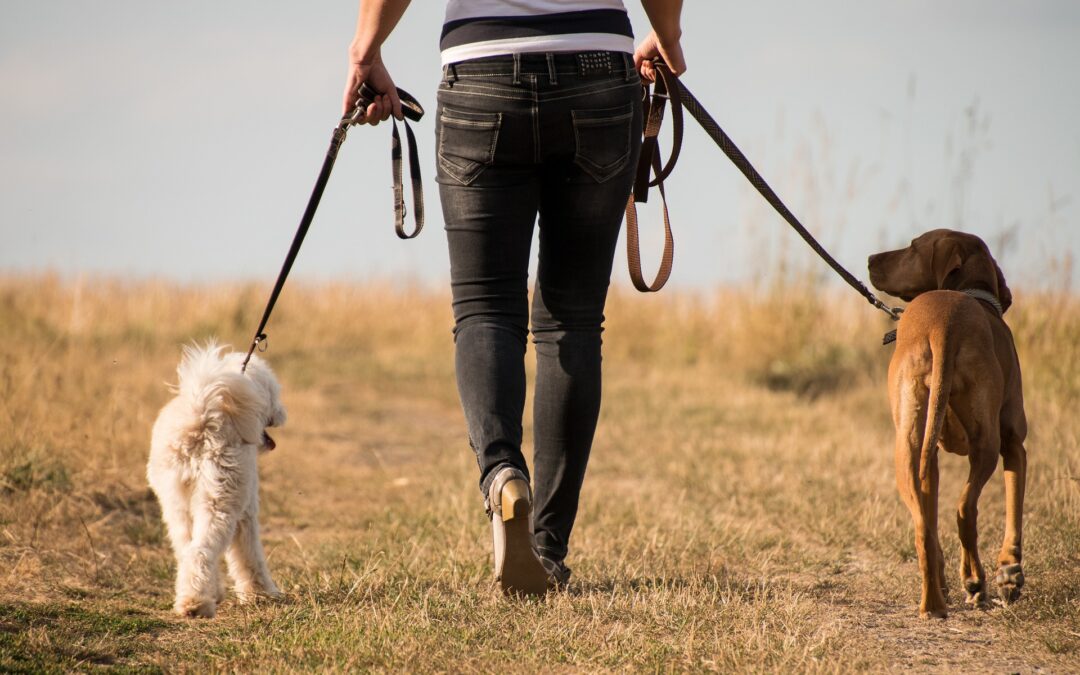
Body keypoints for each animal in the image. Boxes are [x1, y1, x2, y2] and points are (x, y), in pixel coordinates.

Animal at [150, 341, 291, 617]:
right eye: (273, 394)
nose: (283, 412)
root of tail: (202, 415)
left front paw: (216, 590)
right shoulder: (246, 512)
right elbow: (249, 556)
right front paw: (262, 593)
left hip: (175, 503)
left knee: (186, 549)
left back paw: (192, 598)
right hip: (220, 501)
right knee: (200, 551)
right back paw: (197, 605)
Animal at [868, 228, 1028, 617]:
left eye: (912, 247)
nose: (869, 259)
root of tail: (944, 324)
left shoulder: (933, 456)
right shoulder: (1014, 443)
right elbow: (1013, 513)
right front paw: (1009, 574)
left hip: (908, 448)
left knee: (923, 527)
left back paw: (934, 603)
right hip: (986, 445)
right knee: (964, 510)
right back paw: (976, 582)